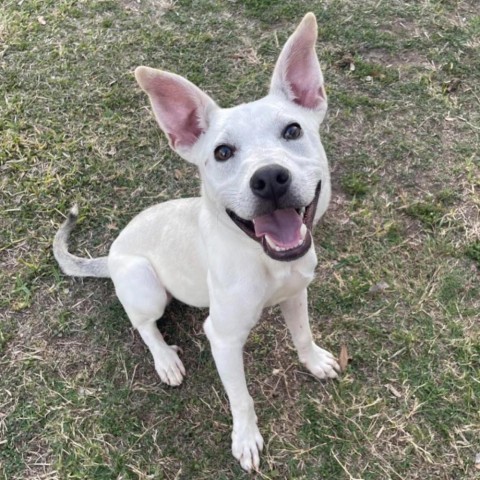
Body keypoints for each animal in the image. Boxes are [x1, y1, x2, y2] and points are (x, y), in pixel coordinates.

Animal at [54, 13, 342, 470]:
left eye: (293, 130)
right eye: (222, 153)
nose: (269, 178)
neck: (265, 260)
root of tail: (110, 254)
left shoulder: (297, 294)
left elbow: (302, 334)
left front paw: (313, 361)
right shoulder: (222, 338)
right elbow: (241, 397)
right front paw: (245, 439)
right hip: (145, 286)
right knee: (143, 325)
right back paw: (166, 359)